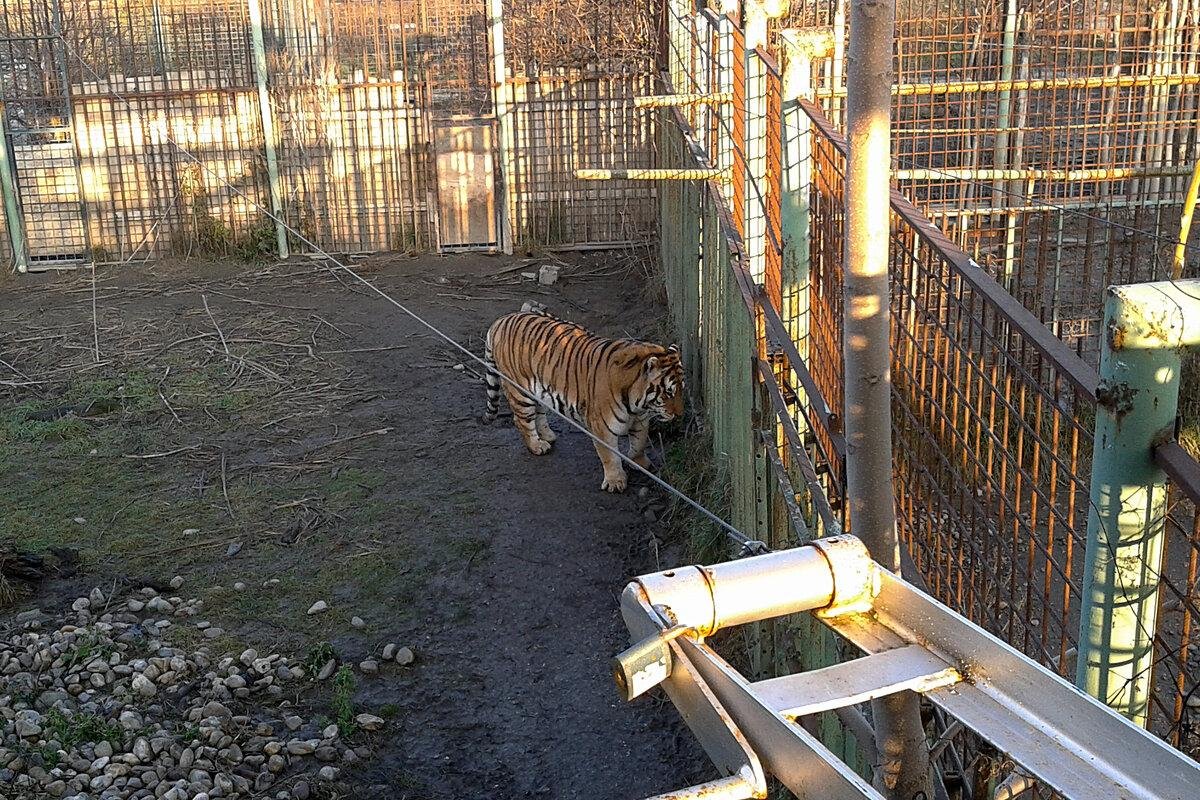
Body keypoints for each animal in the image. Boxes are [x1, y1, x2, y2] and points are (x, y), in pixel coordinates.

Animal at [480, 309, 686, 491]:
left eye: (681, 389)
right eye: (668, 393)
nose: (680, 415)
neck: (638, 403)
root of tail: (500, 320)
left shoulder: (641, 419)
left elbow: (640, 442)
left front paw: (640, 463)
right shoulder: (602, 428)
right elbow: (610, 456)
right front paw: (615, 482)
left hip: (538, 390)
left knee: (539, 413)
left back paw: (548, 436)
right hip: (520, 391)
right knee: (521, 420)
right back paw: (537, 445)